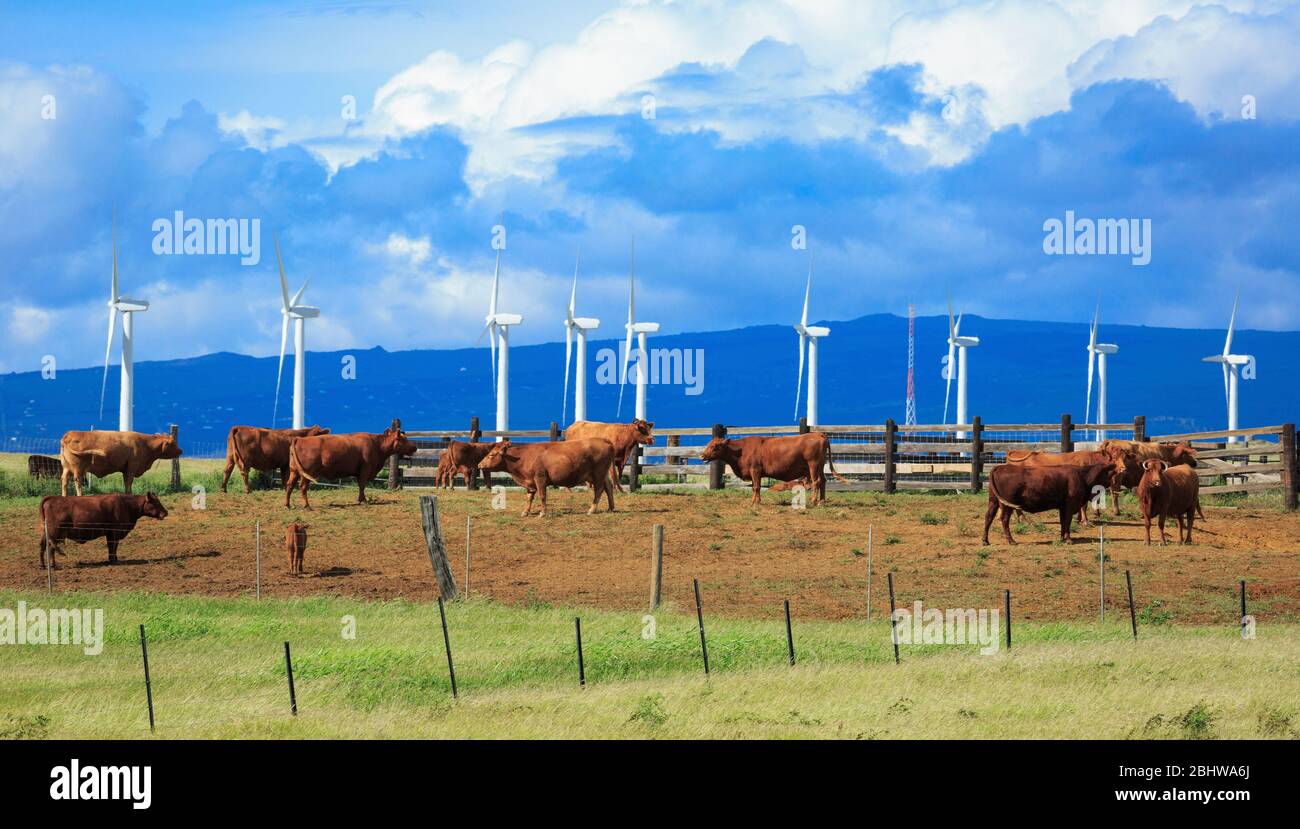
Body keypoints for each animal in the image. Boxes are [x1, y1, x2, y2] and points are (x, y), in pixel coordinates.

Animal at [38, 493, 167, 571]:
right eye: (155, 502)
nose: (165, 513)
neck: (126, 505)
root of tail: (52, 498)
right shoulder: (114, 532)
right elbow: (113, 547)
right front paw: (113, 560)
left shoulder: (110, 533)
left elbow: (112, 547)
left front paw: (113, 559)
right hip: (55, 533)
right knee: (50, 548)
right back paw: (53, 565)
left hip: (47, 533)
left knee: (42, 546)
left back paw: (43, 566)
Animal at [284, 428, 416, 514]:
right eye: (404, 440)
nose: (415, 447)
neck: (377, 445)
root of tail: (299, 439)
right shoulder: (365, 469)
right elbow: (362, 485)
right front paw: (363, 500)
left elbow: (360, 485)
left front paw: (361, 499)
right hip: (307, 473)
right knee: (302, 487)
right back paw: (307, 506)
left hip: (294, 471)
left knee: (289, 485)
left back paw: (287, 505)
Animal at [480, 439, 616, 517]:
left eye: (491, 455)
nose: (479, 464)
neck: (523, 457)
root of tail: (605, 441)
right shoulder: (530, 482)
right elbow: (529, 497)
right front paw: (525, 512)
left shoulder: (540, 478)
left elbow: (542, 495)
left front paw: (542, 513)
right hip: (601, 475)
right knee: (608, 488)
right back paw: (610, 508)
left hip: (598, 473)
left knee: (599, 490)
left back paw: (592, 510)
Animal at [696, 436, 847, 506]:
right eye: (709, 444)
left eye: (714, 446)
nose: (702, 456)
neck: (741, 450)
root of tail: (819, 434)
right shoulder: (754, 473)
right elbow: (754, 487)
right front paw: (755, 501)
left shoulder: (755, 470)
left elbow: (756, 487)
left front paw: (755, 502)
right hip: (820, 466)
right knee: (823, 481)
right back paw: (822, 501)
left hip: (813, 465)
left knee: (816, 482)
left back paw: (814, 500)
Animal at [977, 465, 1123, 548]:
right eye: (1114, 474)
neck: (1082, 477)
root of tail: (999, 467)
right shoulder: (1069, 505)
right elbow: (1067, 521)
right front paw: (1068, 539)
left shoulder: (1063, 506)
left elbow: (1063, 522)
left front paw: (1062, 537)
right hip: (1007, 504)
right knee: (1004, 520)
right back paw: (1011, 540)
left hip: (993, 501)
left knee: (988, 517)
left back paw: (985, 541)